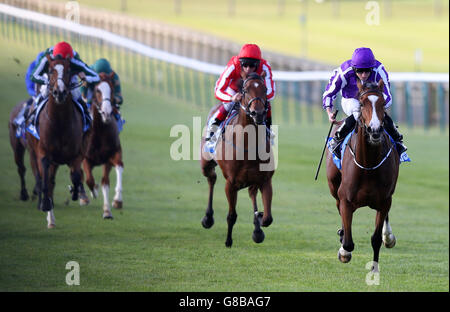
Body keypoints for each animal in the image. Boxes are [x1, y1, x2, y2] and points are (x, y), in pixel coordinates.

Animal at [26, 54, 87, 228]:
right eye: (51, 70)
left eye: (68, 70)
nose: (59, 92)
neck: (60, 122)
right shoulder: (44, 153)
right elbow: (46, 181)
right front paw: (46, 204)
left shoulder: (77, 154)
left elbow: (76, 176)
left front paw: (75, 192)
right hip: (33, 152)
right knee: (44, 180)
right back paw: (48, 213)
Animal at [200, 72, 274, 247]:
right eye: (245, 90)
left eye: (265, 88)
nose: (258, 113)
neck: (247, 144)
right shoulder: (231, 183)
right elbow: (231, 215)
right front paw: (228, 241)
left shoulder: (265, 180)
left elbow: (267, 218)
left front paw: (258, 222)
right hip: (205, 163)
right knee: (211, 178)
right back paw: (208, 218)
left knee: (252, 193)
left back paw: (257, 230)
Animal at [326, 78, 400, 270]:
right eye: (362, 102)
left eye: (382, 103)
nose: (374, 130)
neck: (368, 165)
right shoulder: (345, 199)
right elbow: (348, 242)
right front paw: (344, 251)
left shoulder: (384, 201)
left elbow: (376, 239)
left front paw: (374, 267)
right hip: (333, 185)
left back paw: (388, 236)